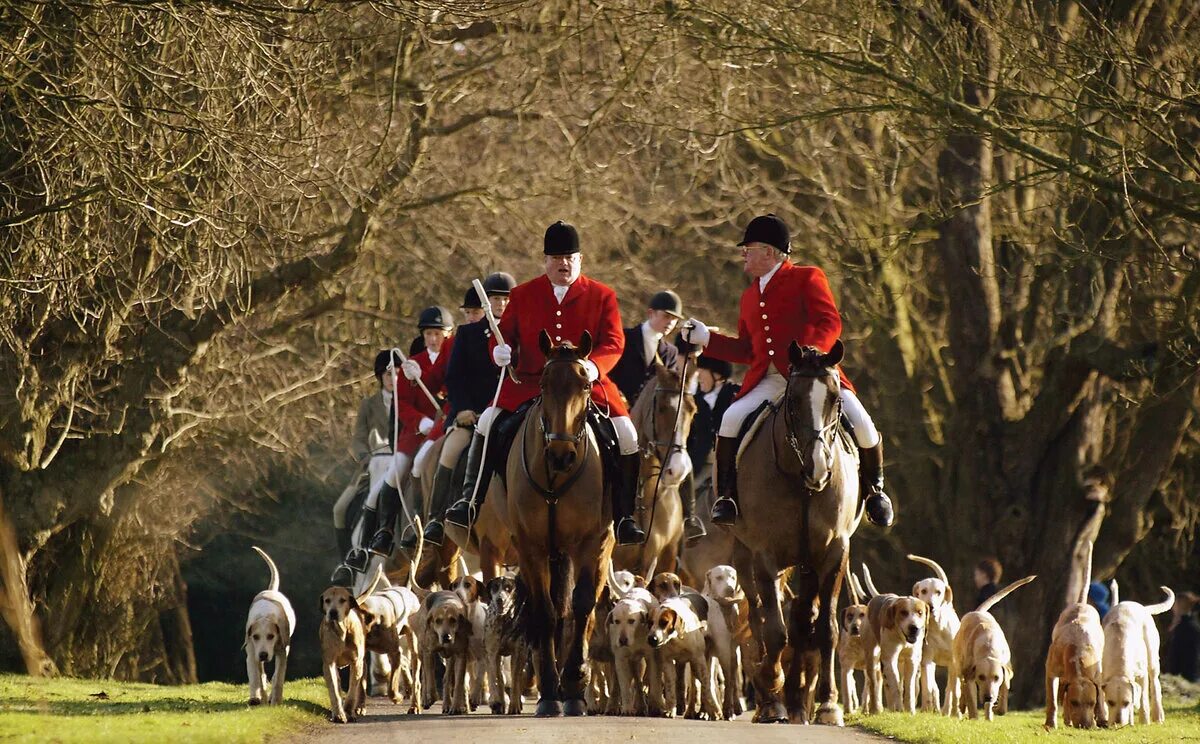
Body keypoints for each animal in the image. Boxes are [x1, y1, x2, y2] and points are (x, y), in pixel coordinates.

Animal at [506, 328, 614, 715]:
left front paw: (574, 683)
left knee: (585, 609)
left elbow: (581, 606)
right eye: (543, 385)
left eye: (586, 384)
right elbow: (546, 613)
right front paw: (551, 692)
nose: (562, 454)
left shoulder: (589, 543)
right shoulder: (530, 547)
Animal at [724, 340, 859, 724]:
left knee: (803, 618)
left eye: (835, 399)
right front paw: (771, 692)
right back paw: (771, 693)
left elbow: (826, 629)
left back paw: (799, 700)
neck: (801, 484)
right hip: (744, 556)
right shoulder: (764, 555)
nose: (818, 468)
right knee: (760, 616)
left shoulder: (834, 553)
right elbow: (774, 630)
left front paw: (828, 704)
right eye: (794, 400)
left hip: (808, 564)